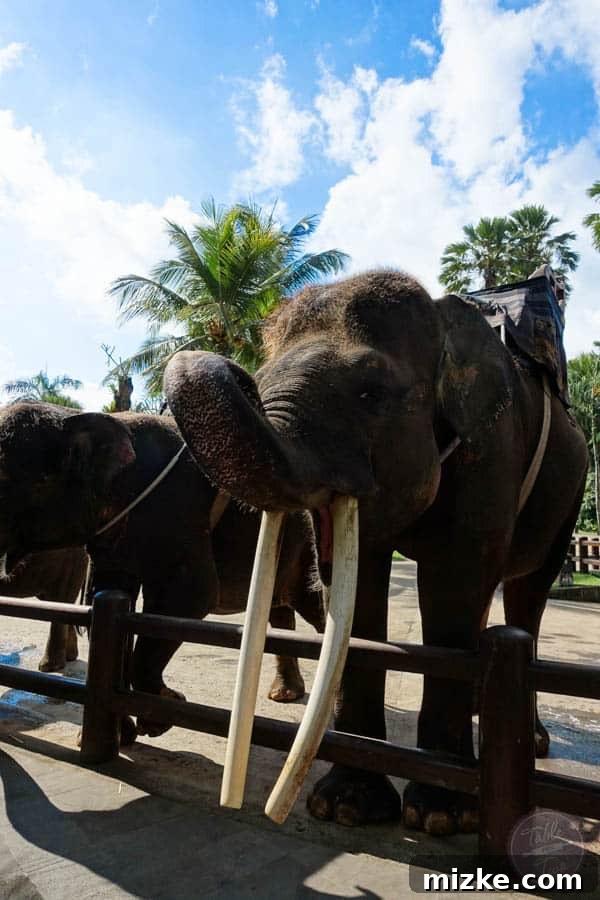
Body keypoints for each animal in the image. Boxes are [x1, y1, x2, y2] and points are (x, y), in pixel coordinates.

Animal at [0, 402, 324, 740]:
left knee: (315, 609)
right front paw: (123, 735)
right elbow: (115, 597)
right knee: (280, 610)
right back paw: (285, 695)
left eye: (6, 479)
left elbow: (190, 597)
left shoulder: (178, 511)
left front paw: (160, 718)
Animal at [163, 269, 589, 836]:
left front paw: (440, 816)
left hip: (569, 497)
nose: (233, 370)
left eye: (371, 393)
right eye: (259, 379)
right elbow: (359, 595)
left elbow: (452, 591)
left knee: (526, 598)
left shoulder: (491, 450)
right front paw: (347, 807)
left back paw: (533, 742)